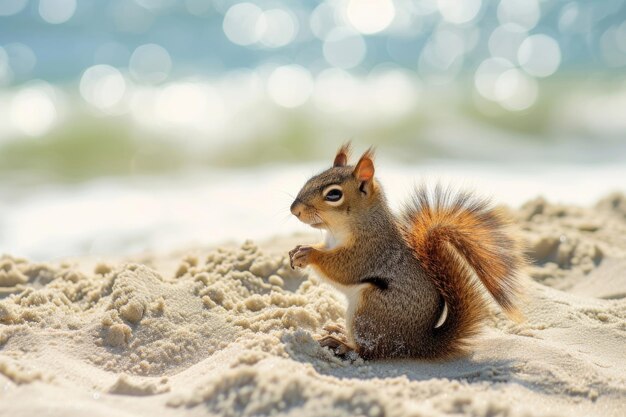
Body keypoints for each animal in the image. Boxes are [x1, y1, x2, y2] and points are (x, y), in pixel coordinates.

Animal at [290, 144, 524, 360]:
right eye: (310, 180)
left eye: (334, 194)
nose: (294, 210)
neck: (341, 229)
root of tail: (418, 343)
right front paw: (297, 250)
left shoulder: (369, 251)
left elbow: (342, 268)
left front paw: (309, 254)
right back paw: (339, 331)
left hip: (369, 311)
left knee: (371, 350)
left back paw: (342, 344)